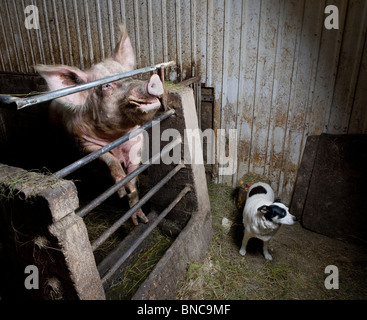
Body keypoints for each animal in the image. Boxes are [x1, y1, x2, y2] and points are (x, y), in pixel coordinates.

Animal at [36, 25, 164, 225]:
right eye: (106, 86)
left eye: (131, 75)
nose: (153, 80)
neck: (115, 137)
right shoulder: (84, 144)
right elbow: (109, 159)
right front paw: (120, 192)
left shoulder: (136, 141)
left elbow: (133, 175)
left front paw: (139, 219)